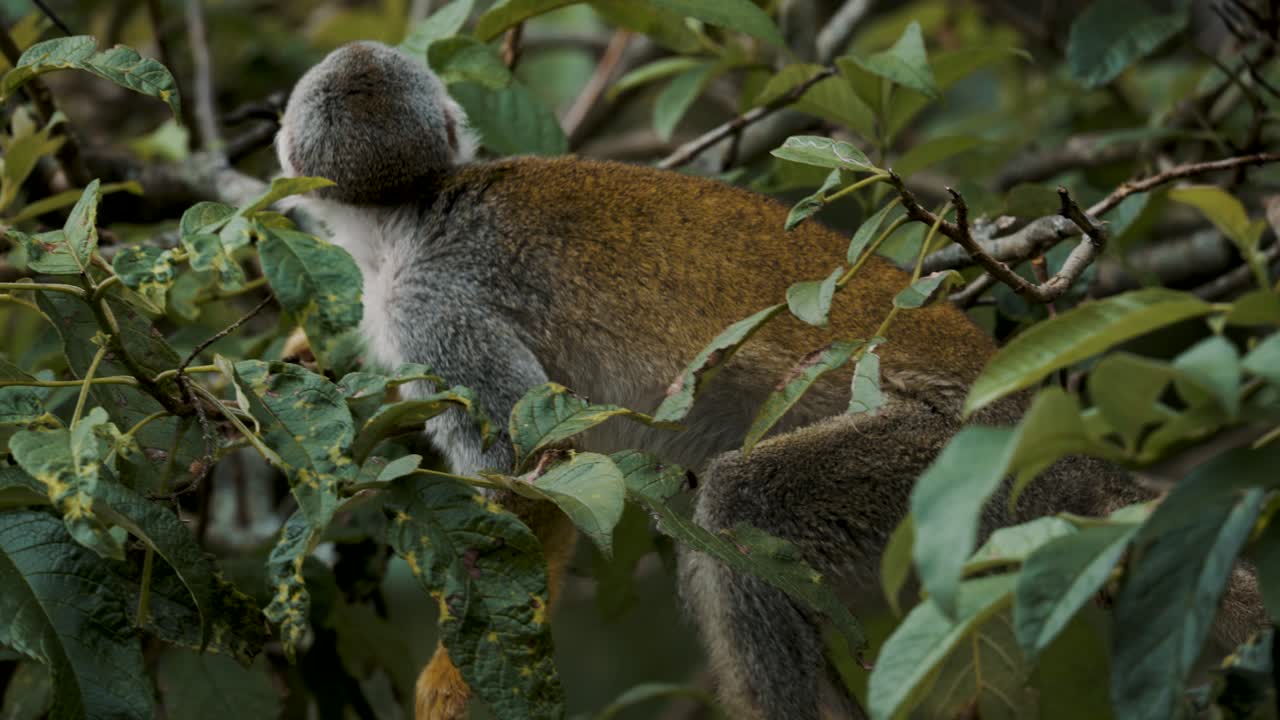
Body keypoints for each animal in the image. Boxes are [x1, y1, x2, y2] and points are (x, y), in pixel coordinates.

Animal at [275, 42, 1265, 720]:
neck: (415, 211)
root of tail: (1079, 455)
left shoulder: (428, 303)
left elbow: (535, 472)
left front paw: (455, 682)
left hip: (972, 469)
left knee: (744, 504)